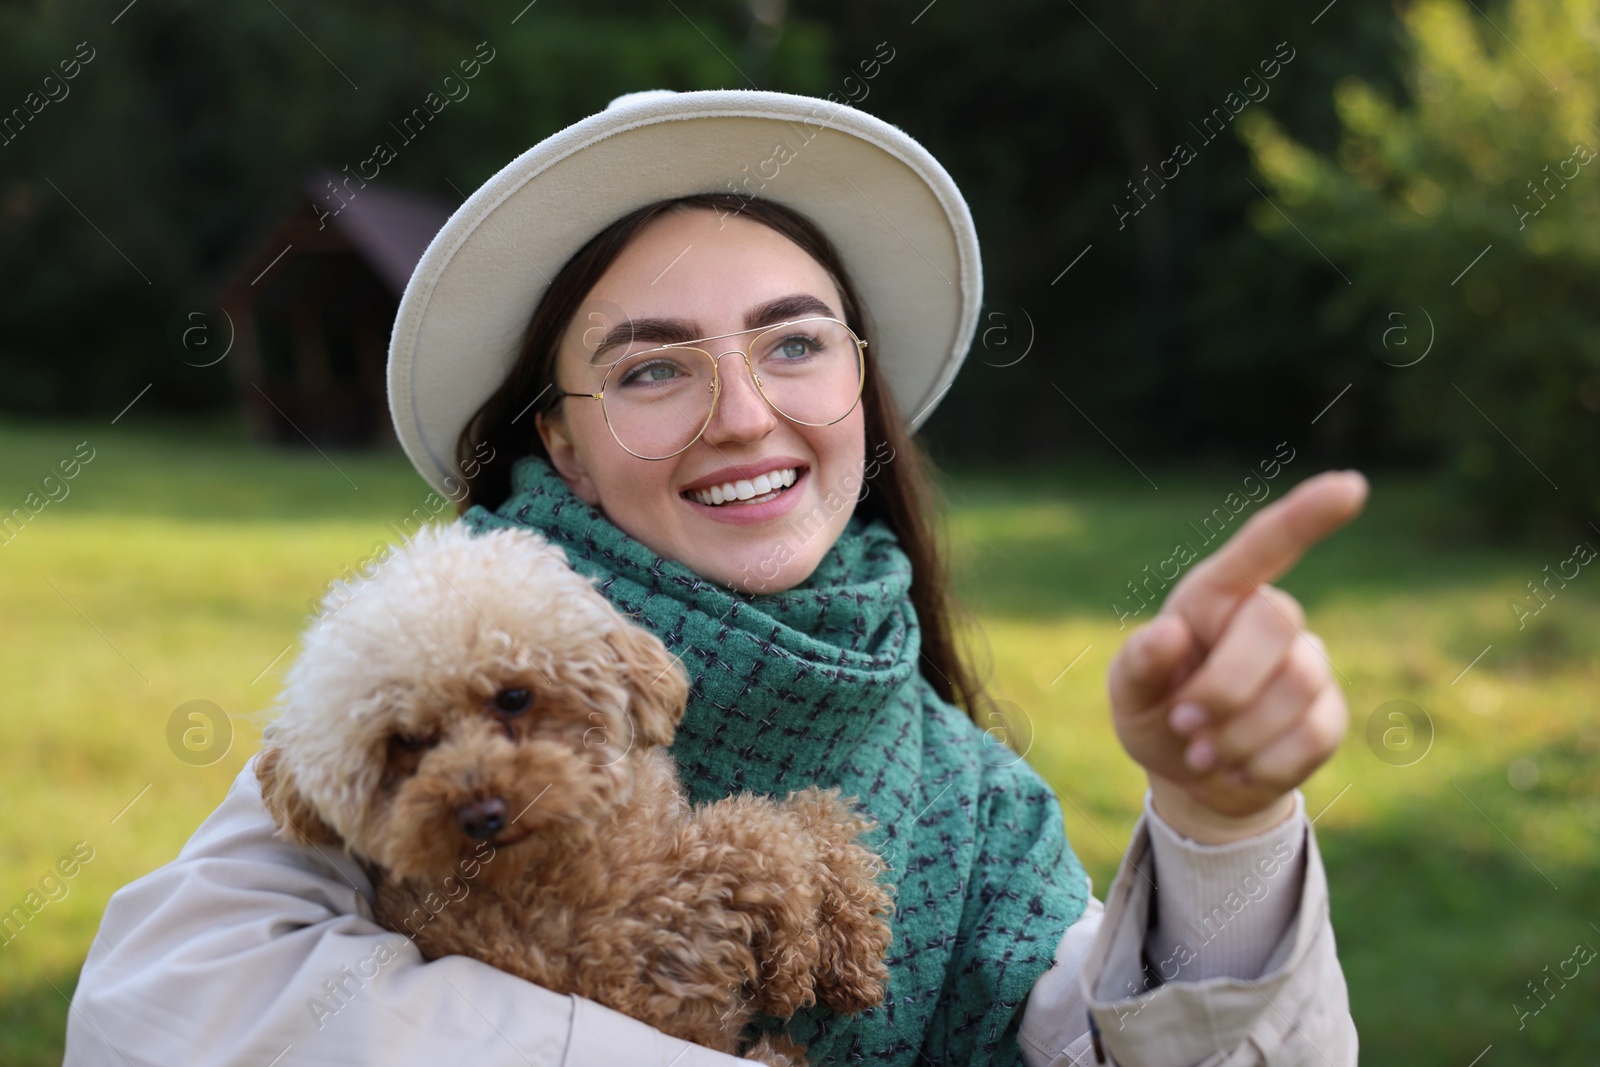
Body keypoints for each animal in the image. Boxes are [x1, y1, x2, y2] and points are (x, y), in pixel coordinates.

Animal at [256, 521, 896, 1062]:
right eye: (406, 741)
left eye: (514, 697)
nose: (481, 813)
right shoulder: (653, 939)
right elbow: (768, 833)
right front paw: (808, 960)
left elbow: (804, 825)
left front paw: (844, 940)